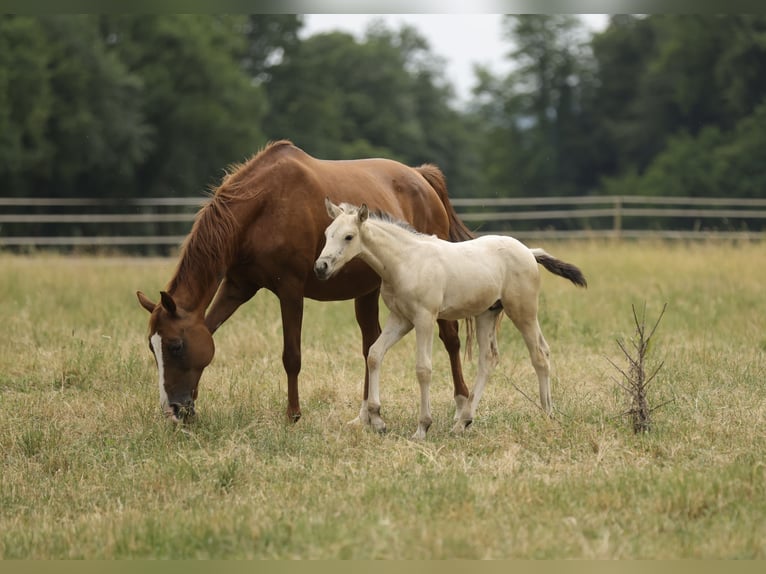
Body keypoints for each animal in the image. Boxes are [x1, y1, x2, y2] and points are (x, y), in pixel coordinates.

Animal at [136, 140, 474, 423]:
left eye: (175, 346)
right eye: (152, 348)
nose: (172, 410)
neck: (264, 207)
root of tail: (421, 177)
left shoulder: (290, 290)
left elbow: (292, 356)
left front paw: (293, 415)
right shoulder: (237, 287)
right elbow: (209, 329)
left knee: (450, 338)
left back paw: (462, 406)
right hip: (367, 291)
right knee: (371, 345)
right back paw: (365, 414)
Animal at [314, 199, 587, 439]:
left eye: (349, 237)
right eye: (327, 234)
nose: (321, 267)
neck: (405, 261)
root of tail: (529, 252)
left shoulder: (424, 318)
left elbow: (423, 369)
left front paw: (422, 427)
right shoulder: (401, 318)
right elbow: (374, 354)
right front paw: (378, 419)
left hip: (523, 310)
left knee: (540, 354)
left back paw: (547, 414)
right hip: (487, 313)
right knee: (488, 359)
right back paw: (463, 423)